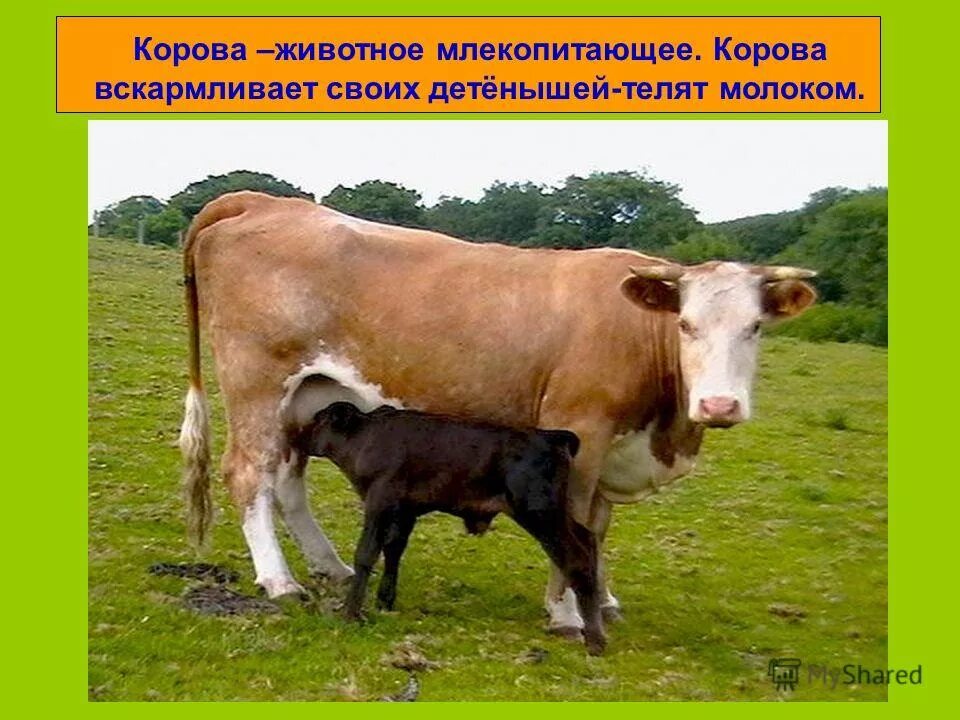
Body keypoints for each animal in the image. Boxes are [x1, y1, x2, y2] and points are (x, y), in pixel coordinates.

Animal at [292, 402, 604, 654]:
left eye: (318, 419)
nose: (294, 437)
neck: (366, 437)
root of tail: (550, 435)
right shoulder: (405, 510)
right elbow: (393, 550)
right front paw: (384, 601)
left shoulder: (379, 501)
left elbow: (367, 553)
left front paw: (350, 612)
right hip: (559, 514)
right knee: (588, 541)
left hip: (540, 514)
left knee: (577, 560)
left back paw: (595, 640)